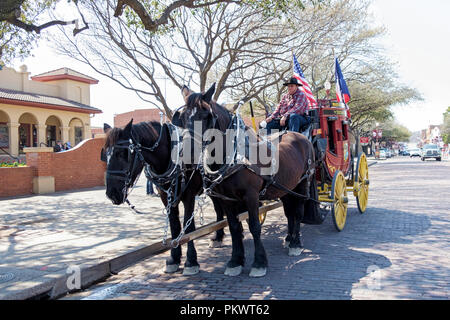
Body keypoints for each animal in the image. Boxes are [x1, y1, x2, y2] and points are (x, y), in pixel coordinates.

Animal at [103, 119, 232, 274]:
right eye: (105, 154)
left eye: (123, 153)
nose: (111, 193)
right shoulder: (166, 197)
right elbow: (174, 226)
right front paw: (174, 258)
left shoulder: (189, 196)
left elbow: (188, 227)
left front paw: (191, 261)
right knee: (219, 209)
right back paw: (218, 237)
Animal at [176, 84, 316, 276]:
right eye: (181, 118)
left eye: (205, 116)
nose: (187, 154)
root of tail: (301, 136)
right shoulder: (227, 199)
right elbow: (234, 227)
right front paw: (235, 261)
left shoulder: (251, 196)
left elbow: (255, 226)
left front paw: (259, 263)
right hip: (286, 187)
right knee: (289, 212)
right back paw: (288, 238)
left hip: (303, 183)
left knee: (299, 211)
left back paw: (296, 243)